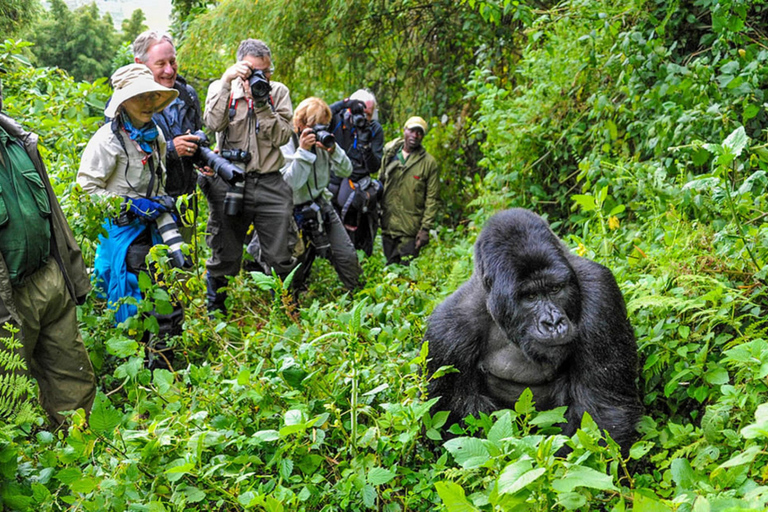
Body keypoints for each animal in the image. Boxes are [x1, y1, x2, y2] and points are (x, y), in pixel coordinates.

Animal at [426, 208, 640, 452]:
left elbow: (603, 412)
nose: (553, 322)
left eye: (555, 289)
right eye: (530, 296)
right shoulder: (446, 334)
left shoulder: (601, 293)